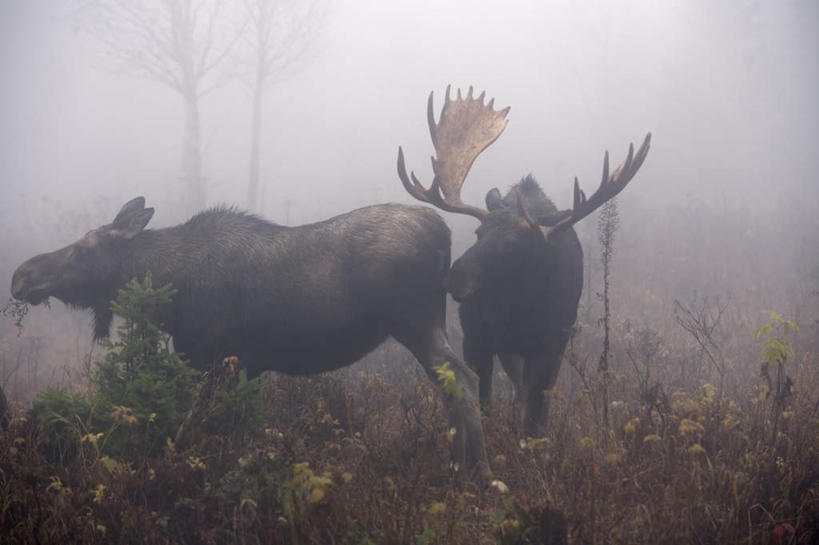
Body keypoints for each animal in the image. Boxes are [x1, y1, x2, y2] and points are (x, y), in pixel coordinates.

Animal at [398, 85, 652, 434]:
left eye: (515, 243)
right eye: (478, 232)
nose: (455, 277)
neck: (518, 306)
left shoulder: (551, 342)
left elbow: (535, 412)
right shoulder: (476, 338)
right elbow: (484, 403)